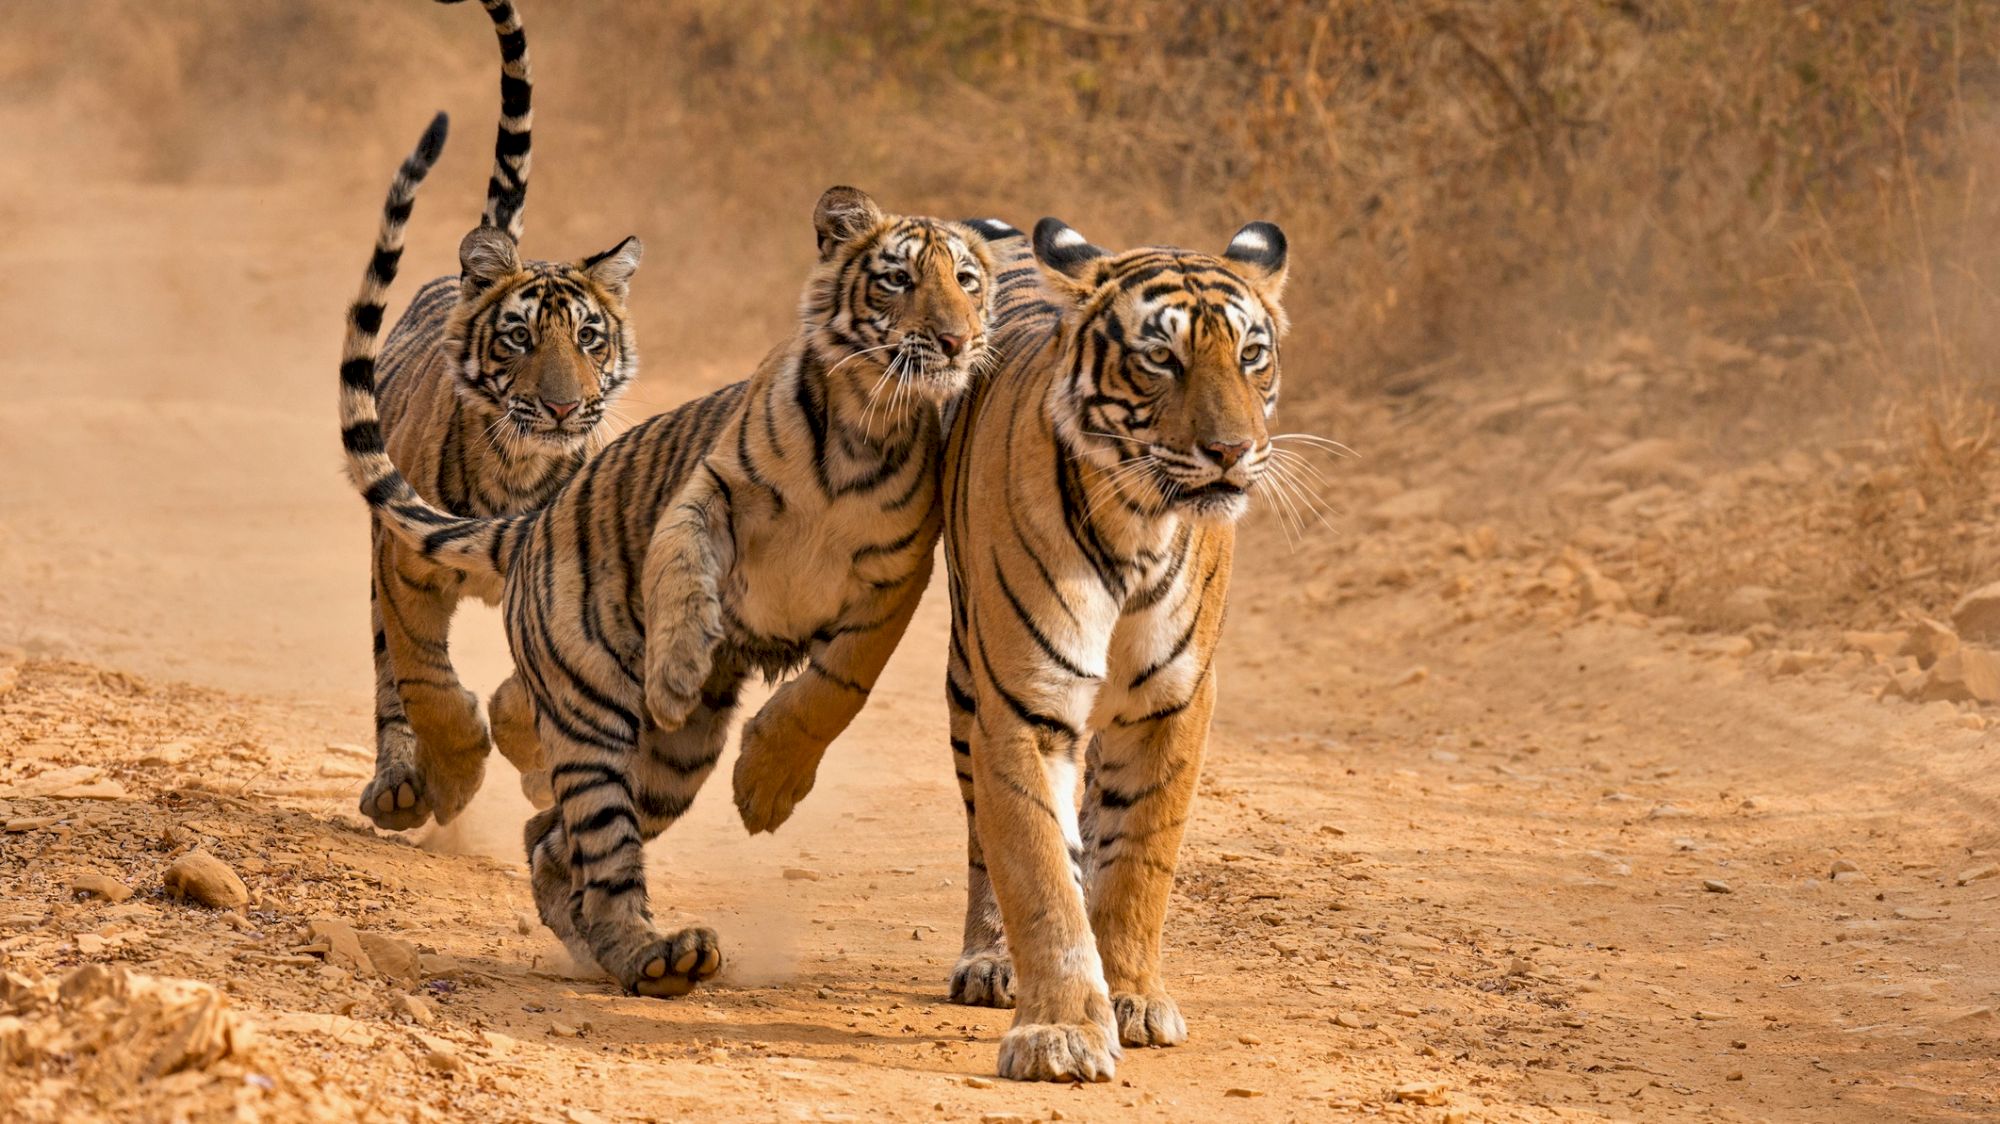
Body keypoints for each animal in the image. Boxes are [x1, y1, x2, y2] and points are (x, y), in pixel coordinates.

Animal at [338, 137, 997, 996]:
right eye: (900, 280)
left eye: (968, 282)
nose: (954, 341)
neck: (865, 420)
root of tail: (533, 523)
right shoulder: (709, 488)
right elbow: (683, 566)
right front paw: (679, 671)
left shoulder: (897, 578)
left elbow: (835, 687)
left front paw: (767, 786)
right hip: (592, 715)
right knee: (594, 843)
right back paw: (655, 953)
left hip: (670, 766)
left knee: (553, 842)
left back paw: (635, 951)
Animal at [355, 0, 645, 832]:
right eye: (520, 337)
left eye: (589, 338)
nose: (563, 405)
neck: (521, 464)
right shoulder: (403, 565)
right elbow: (427, 683)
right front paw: (453, 779)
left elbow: (532, 691)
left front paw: (533, 762)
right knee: (390, 678)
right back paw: (400, 787)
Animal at [733, 214, 1292, 1081]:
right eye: (1161, 359)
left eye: (1251, 355)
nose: (1232, 451)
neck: (1139, 524)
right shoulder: (1022, 702)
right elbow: (1037, 871)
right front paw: (1059, 1031)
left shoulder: (1172, 705)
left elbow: (1139, 860)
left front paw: (1132, 998)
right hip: (970, 682)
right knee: (987, 837)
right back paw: (991, 960)